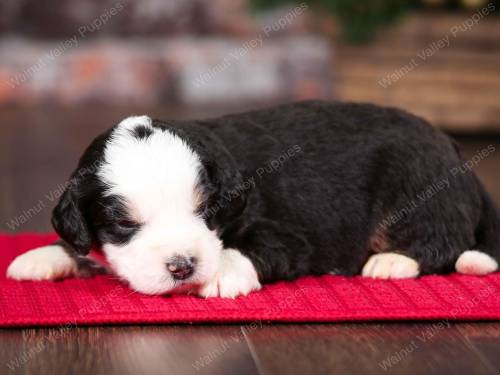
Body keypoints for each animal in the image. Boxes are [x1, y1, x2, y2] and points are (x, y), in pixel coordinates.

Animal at [4, 101, 500, 298]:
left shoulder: (288, 234)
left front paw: (221, 273)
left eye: (204, 210)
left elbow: (253, 247)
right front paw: (43, 256)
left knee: (443, 240)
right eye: (124, 224)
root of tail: (454, 150)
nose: (182, 267)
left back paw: (392, 262)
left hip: (418, 186)